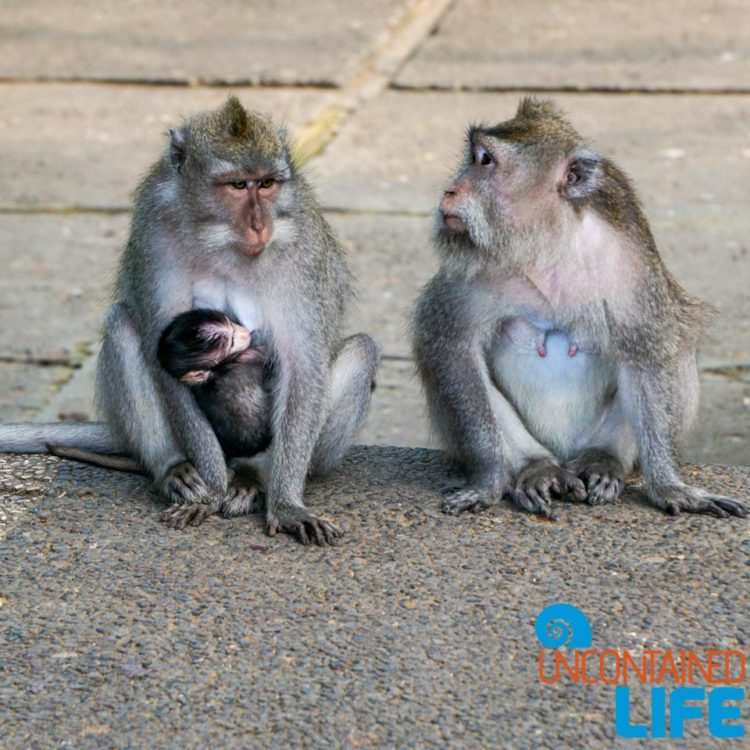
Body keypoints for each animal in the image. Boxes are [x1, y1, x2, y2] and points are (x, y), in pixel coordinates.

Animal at [0, 98, 378, 548]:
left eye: (267, 183)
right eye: (238, 186)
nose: (260, 224)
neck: (221, 240)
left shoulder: (301, 252)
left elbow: (303, 368)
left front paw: (286, 505)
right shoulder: (154, 229)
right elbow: (159, 352)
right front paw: (210, 490)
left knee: (360, 350)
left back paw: (255, 477)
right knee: (122, 325)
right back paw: (174, 467)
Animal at [414, 97, 748, 524]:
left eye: (485, 160)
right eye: (473, 158)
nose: (450, 190)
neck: (548, 244)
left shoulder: (631, 268)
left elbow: (649, 353)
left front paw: (670, 486)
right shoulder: (469, 274)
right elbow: (452, 347)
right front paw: (490, 479)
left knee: (674, 348)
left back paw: (602, 460)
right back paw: (536, 468)